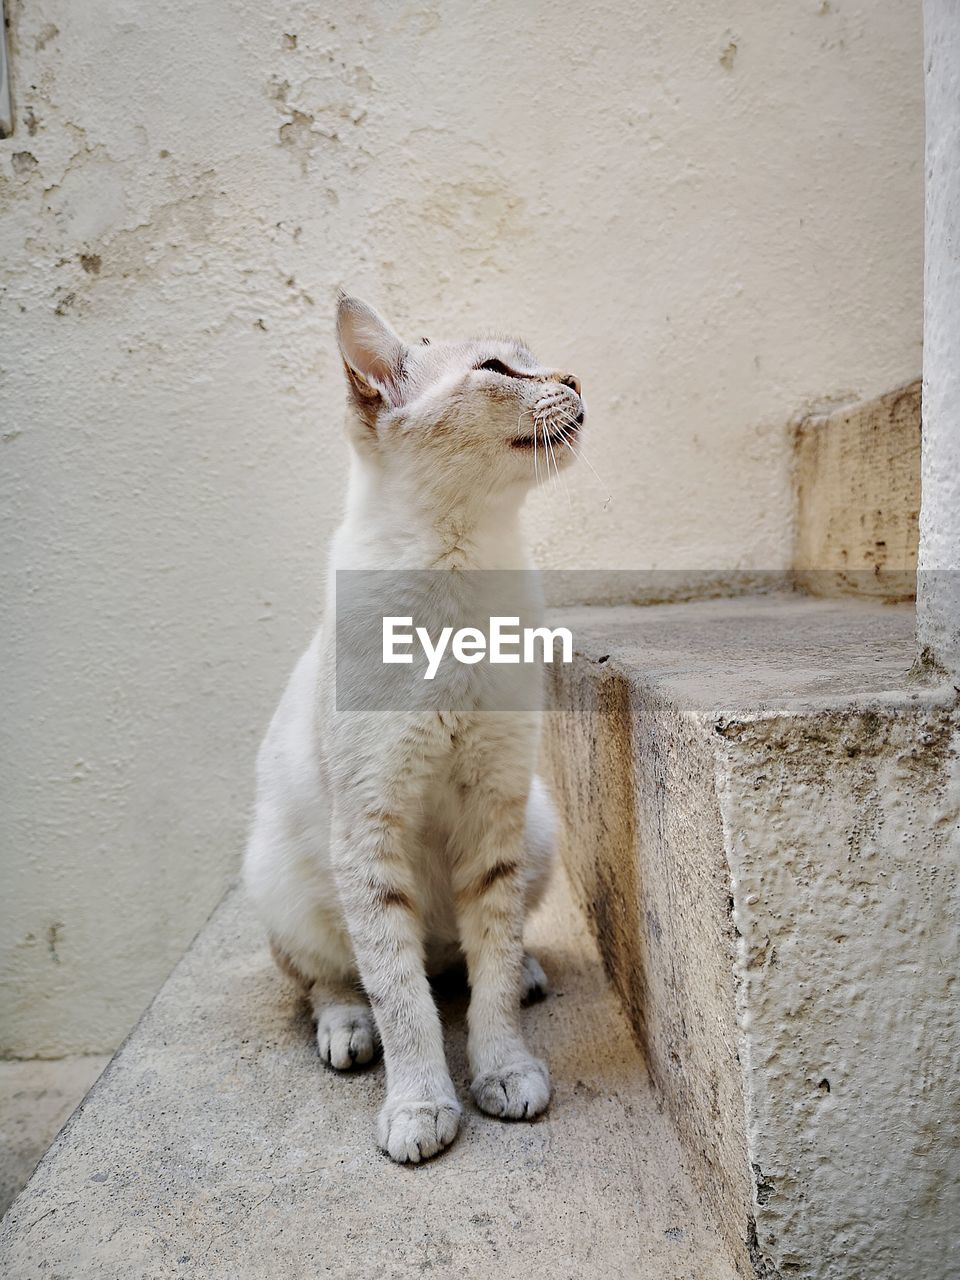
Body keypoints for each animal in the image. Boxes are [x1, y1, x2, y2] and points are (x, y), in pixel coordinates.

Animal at [244, 294, 583, 1167]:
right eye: (497, 370)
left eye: (536, 359)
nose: (575, 380)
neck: (464, 576)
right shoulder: (372, 830)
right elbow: (402, 1002)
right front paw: (421, 1107)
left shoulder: (497, 811)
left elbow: (489, 970)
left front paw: (504, 1071)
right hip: (282, 872)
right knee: (336, 977)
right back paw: (346, 1029)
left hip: (538, 826)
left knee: (466, 961)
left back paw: (524, 974)